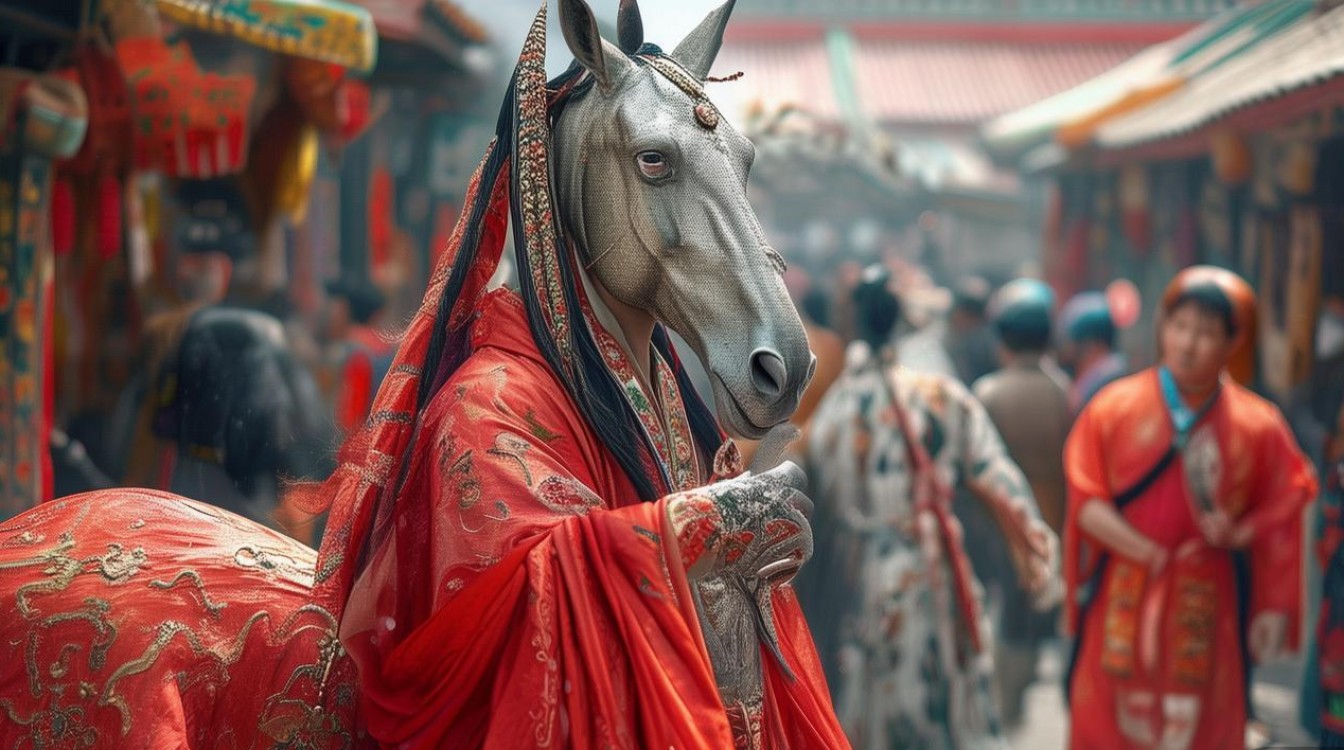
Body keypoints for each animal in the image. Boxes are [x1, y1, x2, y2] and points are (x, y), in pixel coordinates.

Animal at [0, 2, 837, 747]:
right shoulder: (482, 457)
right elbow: (544, 562)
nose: (785, 364)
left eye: (748, 160)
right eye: (653, 160)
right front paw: (760, 507)